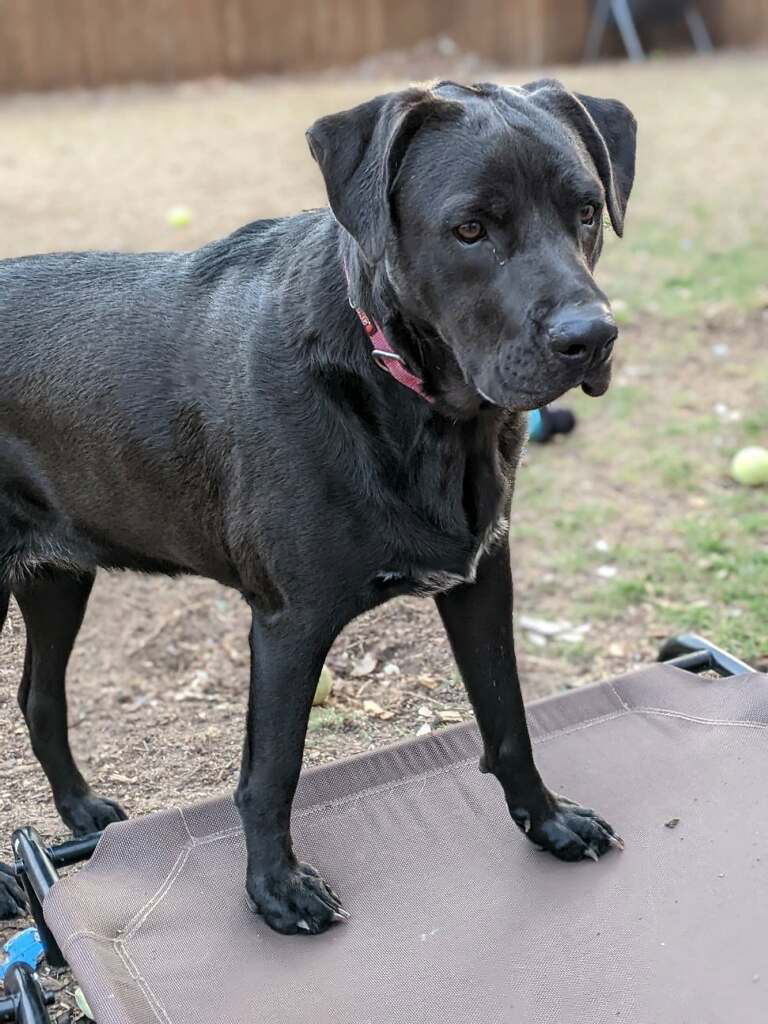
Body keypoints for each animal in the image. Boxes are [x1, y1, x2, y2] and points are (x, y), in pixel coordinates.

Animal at [1, 77, 638, 929]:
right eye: (469, 229)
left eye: (587, 211)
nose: (592, 338)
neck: (420, 408)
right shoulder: (287, 624)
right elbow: (272, 771)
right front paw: (274, 889)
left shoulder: (481, 578)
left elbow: (509, 719)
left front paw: (549, 822)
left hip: (58, 577)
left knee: (38, 698)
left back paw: (77, 811)